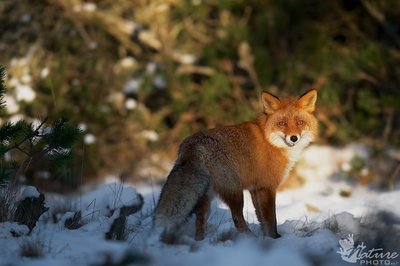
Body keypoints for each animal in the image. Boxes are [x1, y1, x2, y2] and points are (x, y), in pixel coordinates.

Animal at [153, 88, 318, 242]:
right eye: (282, 124)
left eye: (300, 122)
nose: (294, 138)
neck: (270, 141)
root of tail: (191, 145)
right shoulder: (267, 187)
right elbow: (271, 219)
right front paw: (274, 239)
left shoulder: (255, 189)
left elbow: (261, 219)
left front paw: (266, 238)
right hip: (235, 192)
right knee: (237, 218)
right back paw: (249, 239)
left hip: (207, 197)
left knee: (200, 221)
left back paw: (200, 242)